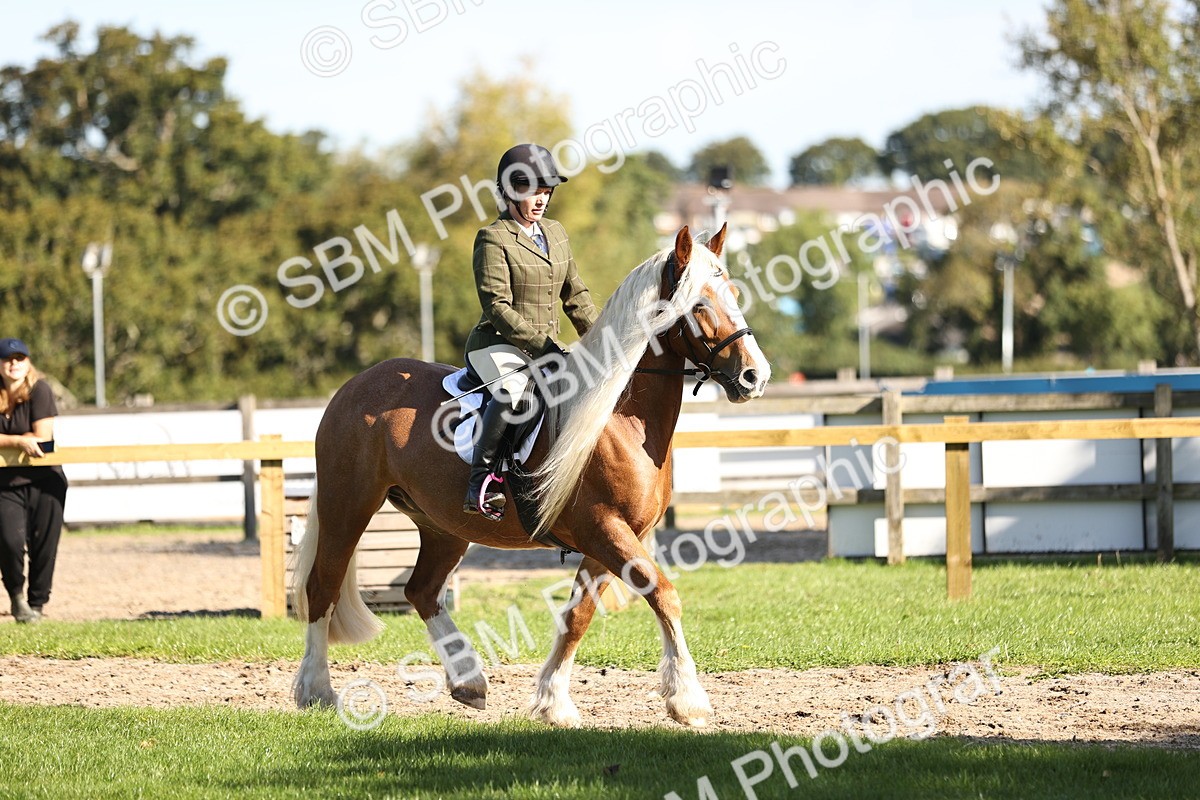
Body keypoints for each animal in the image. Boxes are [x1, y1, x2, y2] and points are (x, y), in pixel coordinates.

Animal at [292, 224, 771, 727]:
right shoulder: (604, 529)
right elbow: (664, 593)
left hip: (443, 525)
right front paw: (687, 699)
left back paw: (469, 682)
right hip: (348, 506)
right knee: (322, 588)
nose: (754, 376)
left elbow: (577, 617)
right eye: (698, 306)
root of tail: (355, 385)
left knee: (421, 590)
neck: (618, 420)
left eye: (735, 294)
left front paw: (553, 702)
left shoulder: (611, 540)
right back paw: (317, 691)